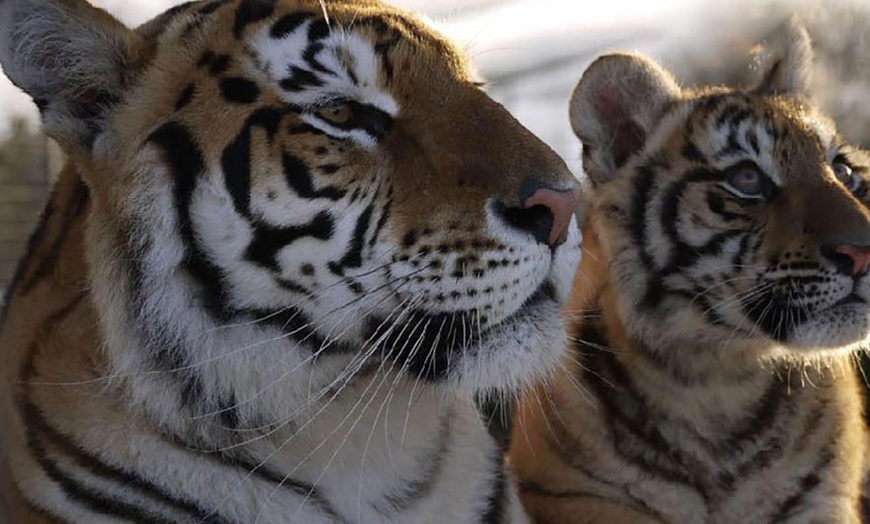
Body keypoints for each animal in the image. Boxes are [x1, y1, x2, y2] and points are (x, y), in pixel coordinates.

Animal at [516, 20, 870, 524]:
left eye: (842, 170)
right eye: (747, 179)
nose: (863, 252)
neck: (719, 381)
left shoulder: (823, 499)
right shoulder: (573, 496)